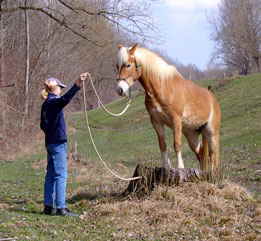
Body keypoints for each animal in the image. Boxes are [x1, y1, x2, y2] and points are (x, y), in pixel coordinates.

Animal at [115, 43, 220, 173]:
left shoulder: (176, 120)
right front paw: (166, 167)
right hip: (192, 135)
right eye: (117, 66)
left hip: (211, 132)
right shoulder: (156, 121)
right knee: (201, 154)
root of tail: (212, 98)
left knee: (214, 155)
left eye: (128, 65)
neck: (163, 87)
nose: (119, 90)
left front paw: (180, 167)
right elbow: (162, 145)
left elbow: (177, 144)